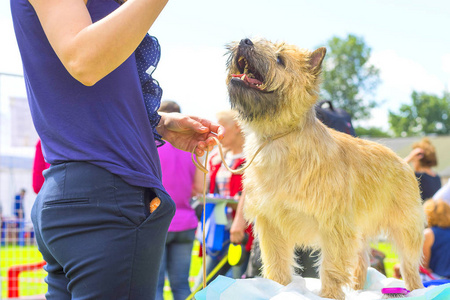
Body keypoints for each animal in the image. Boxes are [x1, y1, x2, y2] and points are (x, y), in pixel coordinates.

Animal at [225, 38, 426, 300]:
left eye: (280, 59)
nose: (245, 40)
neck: (277, 139)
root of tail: (403, 162)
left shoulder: (334, 226)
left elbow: (331, 266)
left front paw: (330, 294)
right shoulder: (272, 226)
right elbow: (277, 263)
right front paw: (277, 288)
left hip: (405, 230)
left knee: (409, 265)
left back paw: (415, 289)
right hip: (360, 233)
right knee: (362, 261)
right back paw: (358, 290)